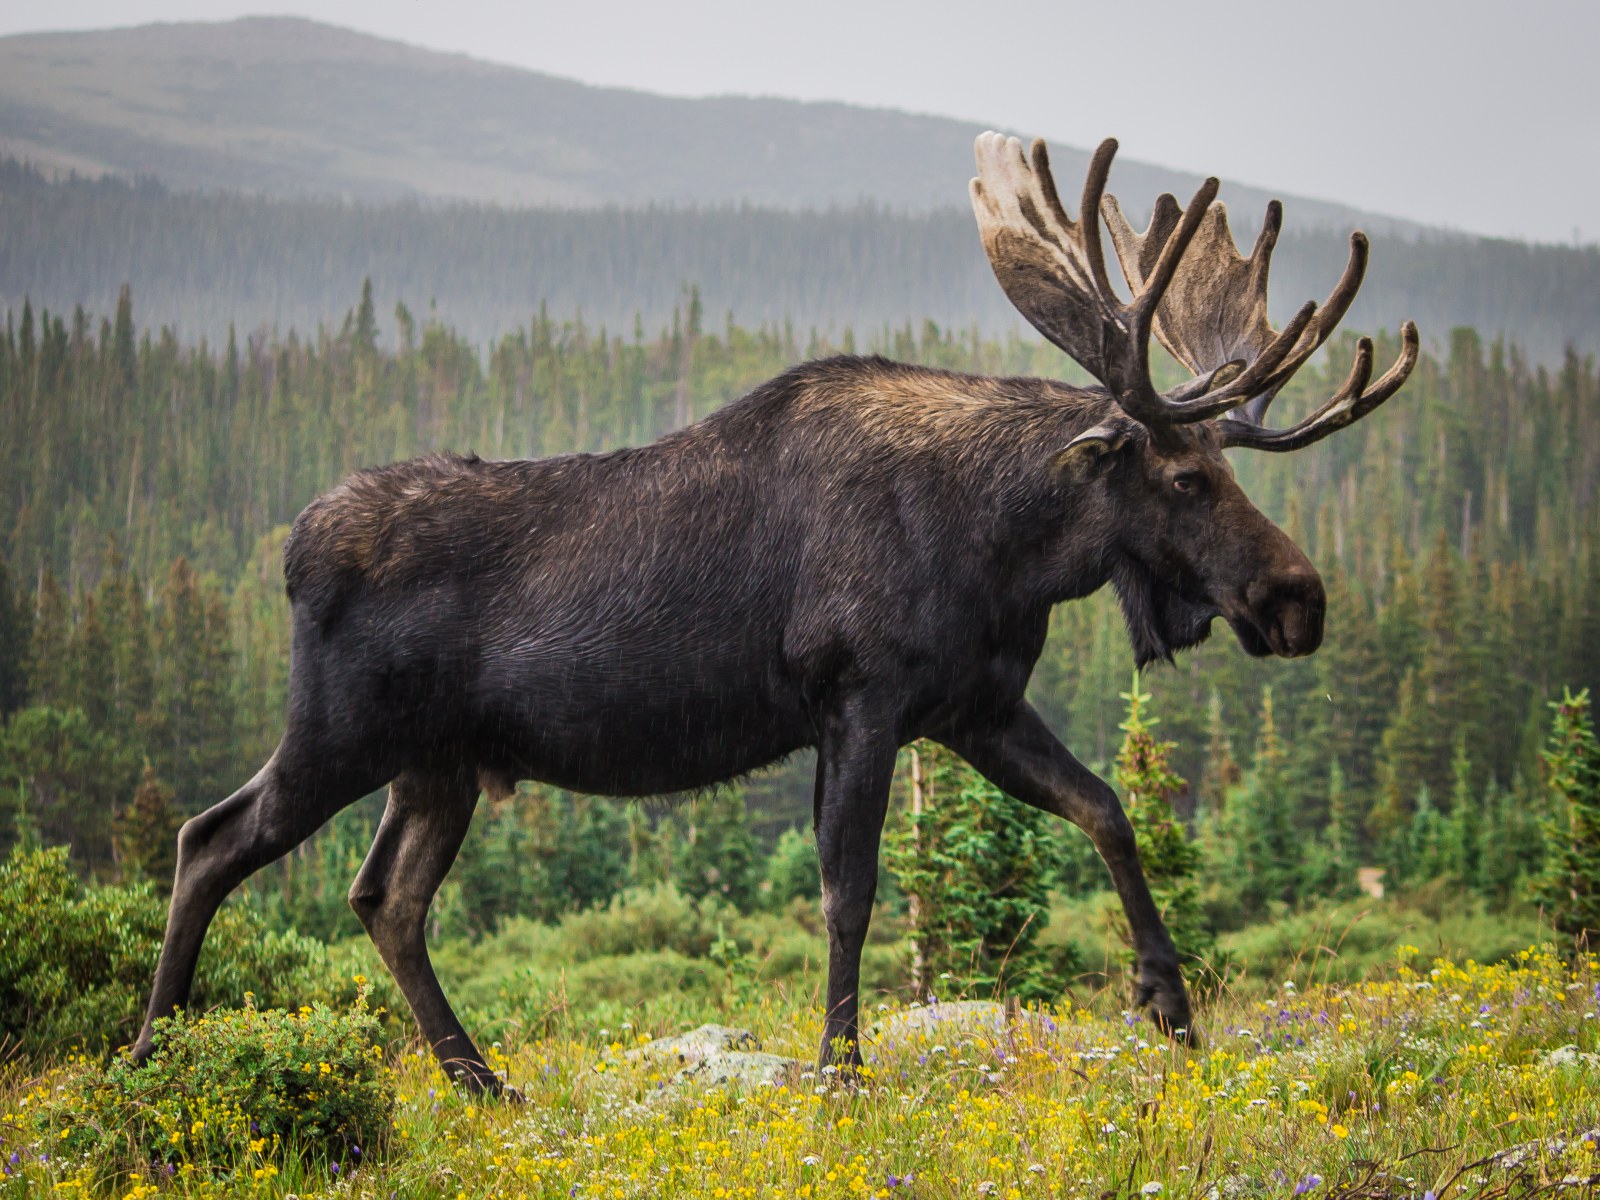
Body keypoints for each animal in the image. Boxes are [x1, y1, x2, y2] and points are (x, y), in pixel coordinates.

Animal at [131, 131, 1420, 1088]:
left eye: (1226, 466)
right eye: (1185, 476)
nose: (1298, 600)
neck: (1003, 548)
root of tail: (292, 549)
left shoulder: (973, 708)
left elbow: (1105, 808)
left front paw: (1170, 1002)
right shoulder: (860, 697)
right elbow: (849, 886)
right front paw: (841, 1068)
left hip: (437, 763)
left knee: (385, 898)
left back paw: (479, 1078)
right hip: (342, 730)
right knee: (211, 839)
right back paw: (152, 1050)